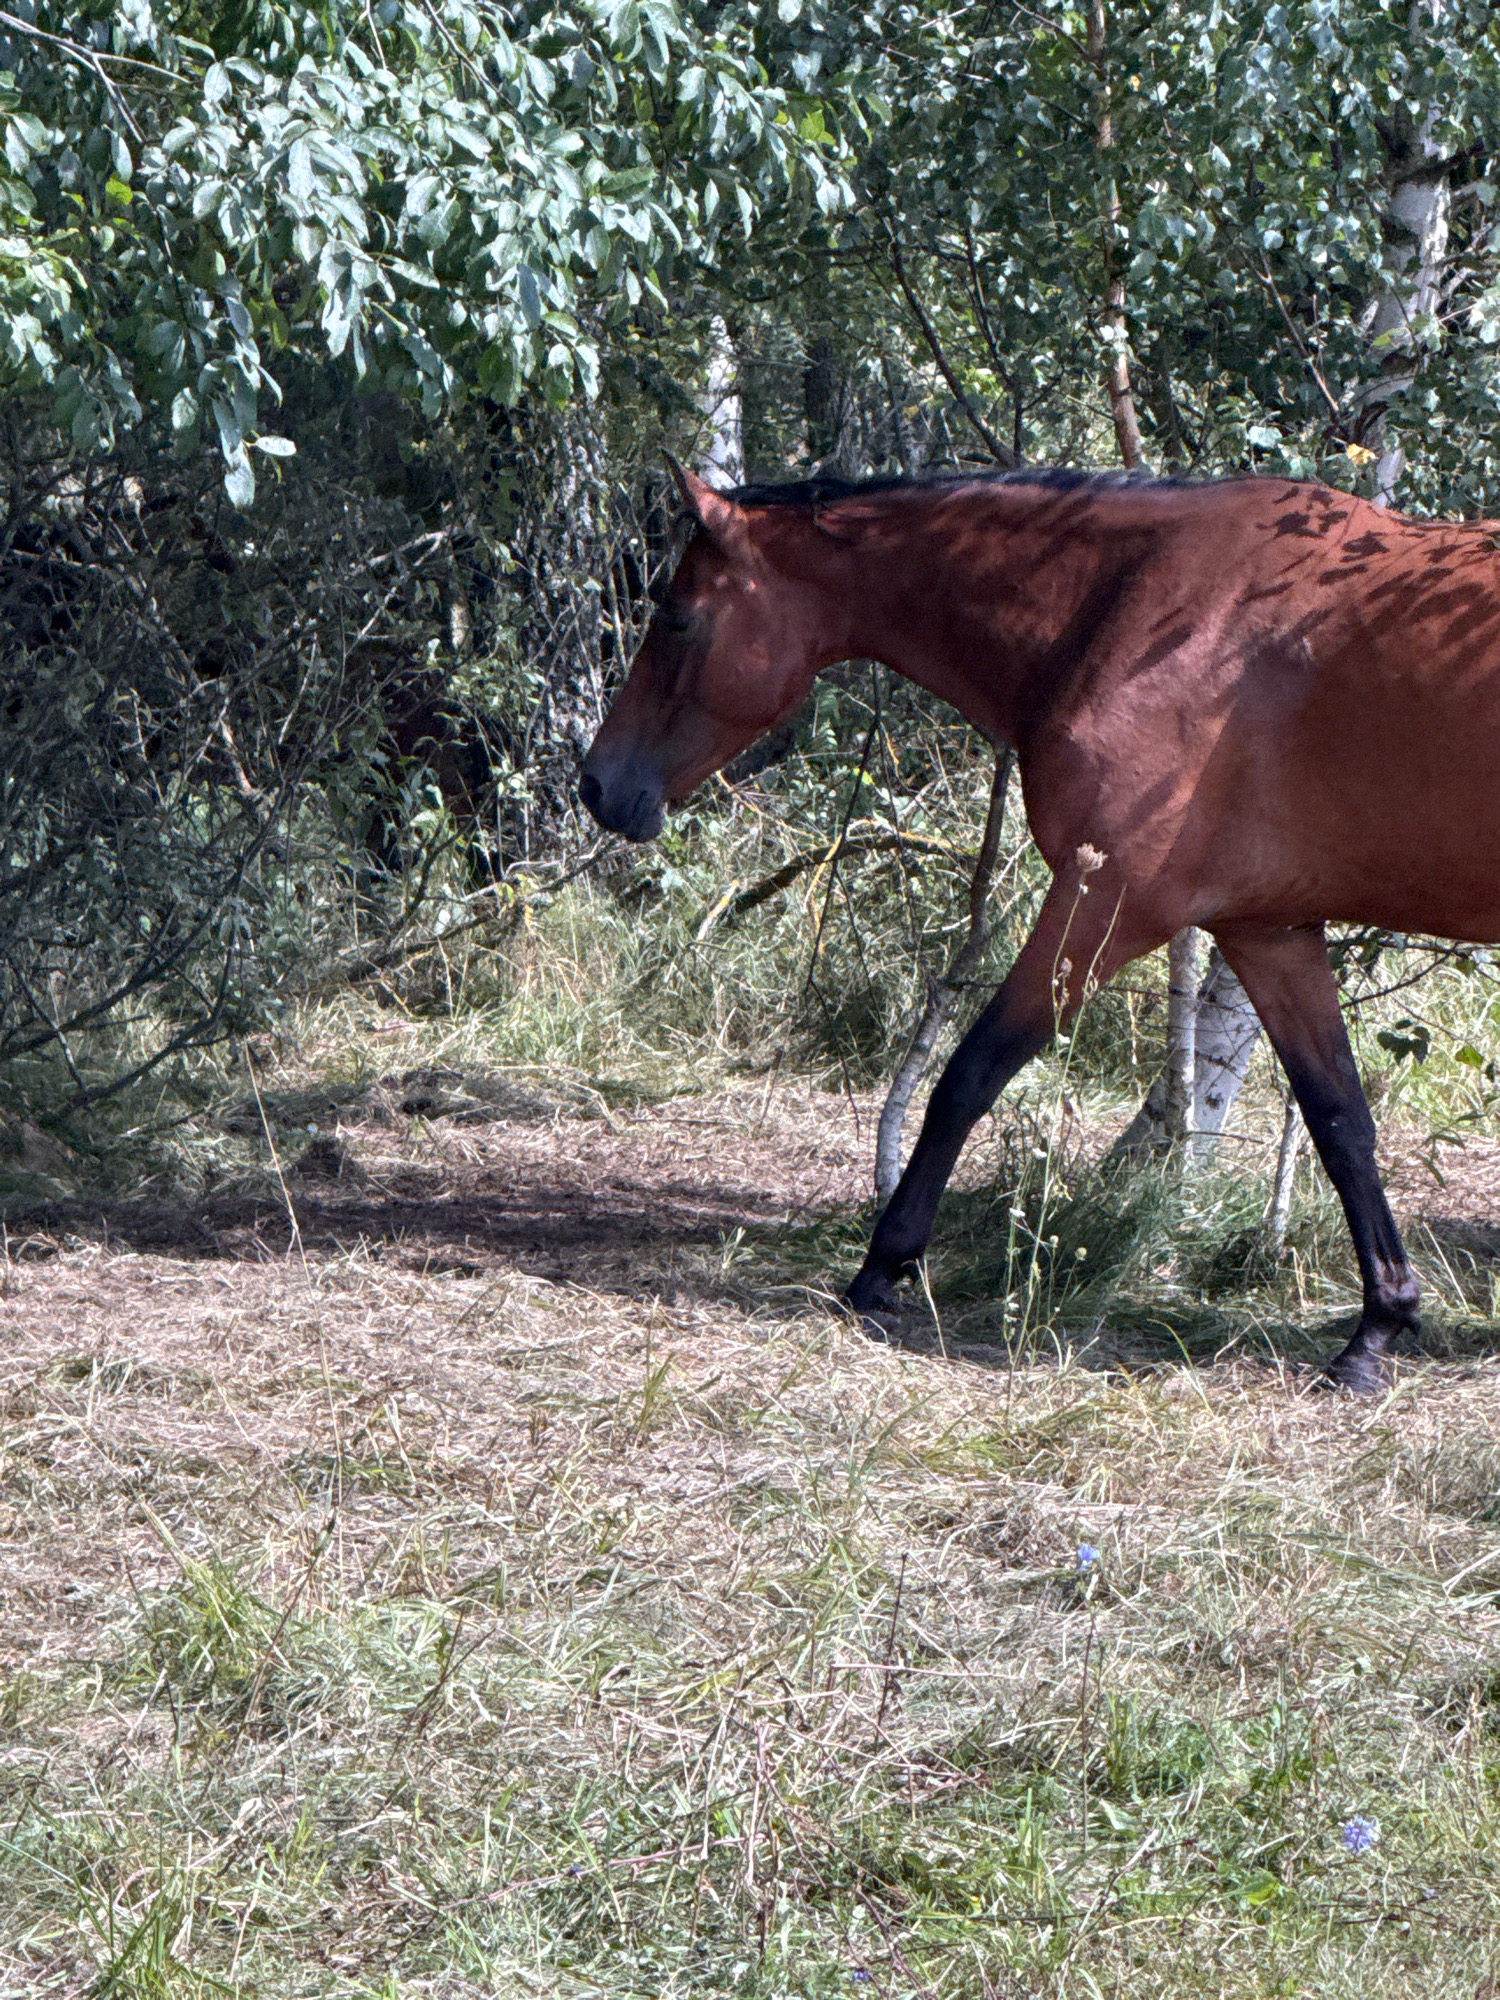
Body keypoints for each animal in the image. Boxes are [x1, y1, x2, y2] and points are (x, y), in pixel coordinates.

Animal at [580, 460, 1500, 1392]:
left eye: (676, 617)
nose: (598, 785)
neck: (1142, 605)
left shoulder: (1107, 903)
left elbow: (969, 1074)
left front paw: (883, 1269)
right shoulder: (1268, 931)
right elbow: (1341, 1122)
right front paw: (1378, 1328)